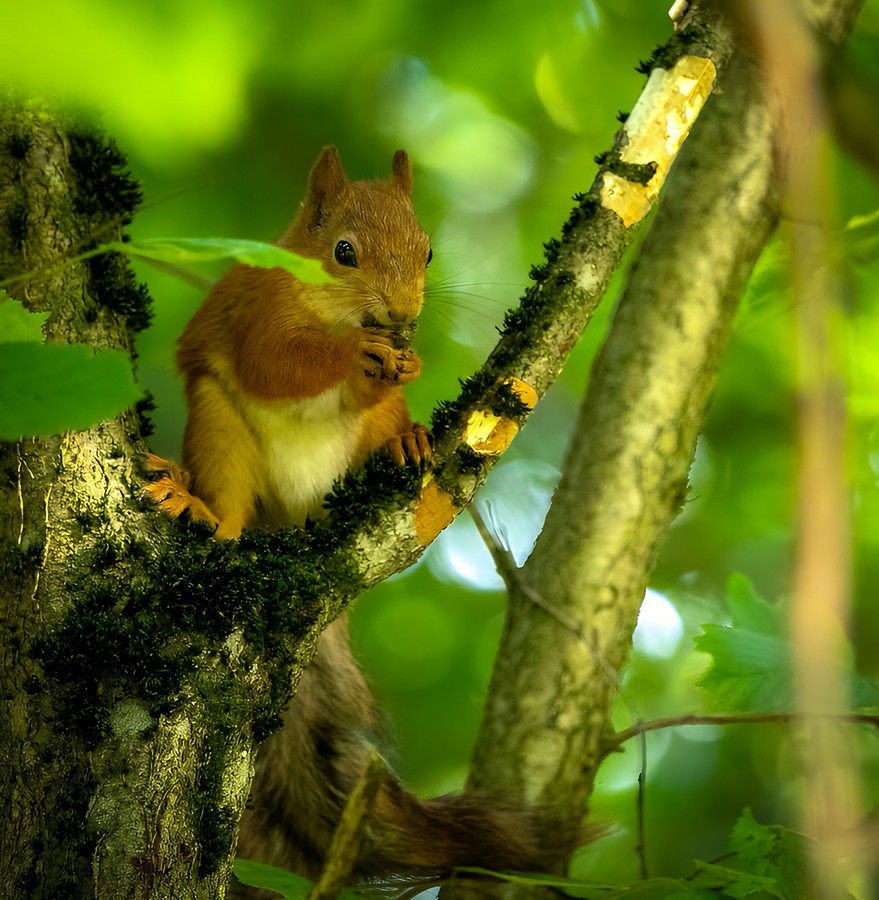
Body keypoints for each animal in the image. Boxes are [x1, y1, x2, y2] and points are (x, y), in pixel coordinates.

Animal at [144, 146, 556, 884]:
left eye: (428, 251)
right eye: (344, 252)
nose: (402, 314)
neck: (331, 311)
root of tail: (293, 525)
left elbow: (375, 384)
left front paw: (407, 361)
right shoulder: (258, 315)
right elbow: (281, 365)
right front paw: (356, 357)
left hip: (364, 439)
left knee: (381, 425)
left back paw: (405, 441)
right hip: (222, 432)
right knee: (227, 505)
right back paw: (199, 506)